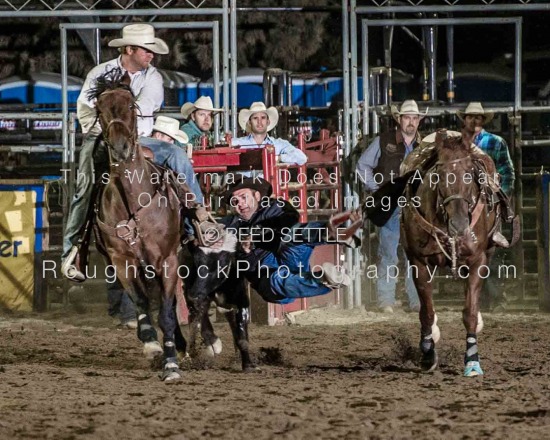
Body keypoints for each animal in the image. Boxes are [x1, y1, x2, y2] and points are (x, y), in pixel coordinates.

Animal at [402, 129, 508, 376]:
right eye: (439, 175)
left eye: (470, 174)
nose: (460, 224)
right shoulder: (419, 262)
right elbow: (427, 312)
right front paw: (428, 354)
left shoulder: (478, 260)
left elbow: (469, 312)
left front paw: (472, 361)